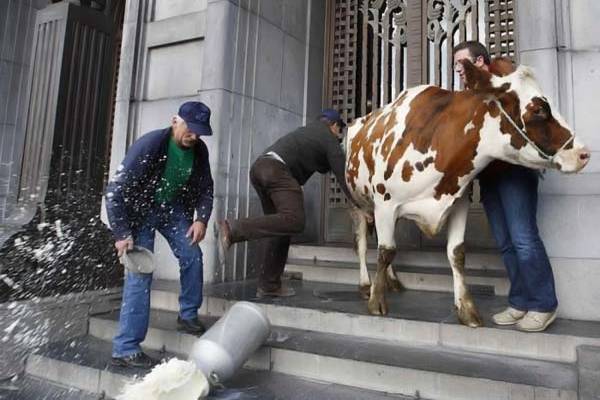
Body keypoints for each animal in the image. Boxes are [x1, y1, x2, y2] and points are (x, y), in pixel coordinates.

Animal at [344, 60, 588, 328]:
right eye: (538, 109)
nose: (584, 154)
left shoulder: (458, 202)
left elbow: (456, 253)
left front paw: (467, 308)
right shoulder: (386, 204)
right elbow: (386, 251)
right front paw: (376, 302)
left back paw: (392, 281)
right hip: (355, 203)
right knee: (363, 244)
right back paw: (366, 285)